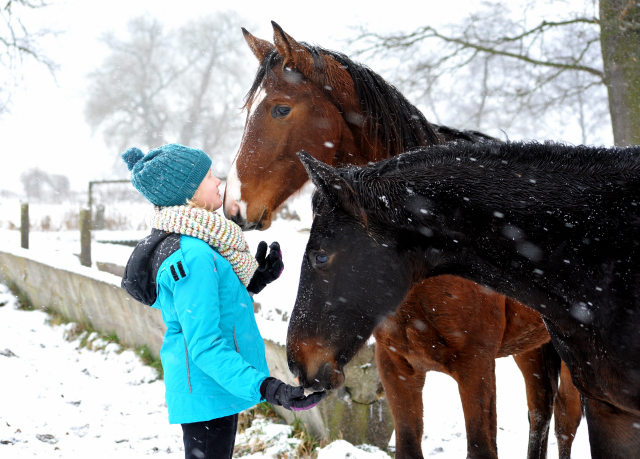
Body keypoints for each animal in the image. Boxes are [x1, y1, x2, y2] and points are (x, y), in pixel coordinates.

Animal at [224, 24, 580, 459]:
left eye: (280, 109)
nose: (233, 205)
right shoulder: (397, 369)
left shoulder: (476, 368)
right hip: (532, 348)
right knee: (540, 416)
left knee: (563, 422)